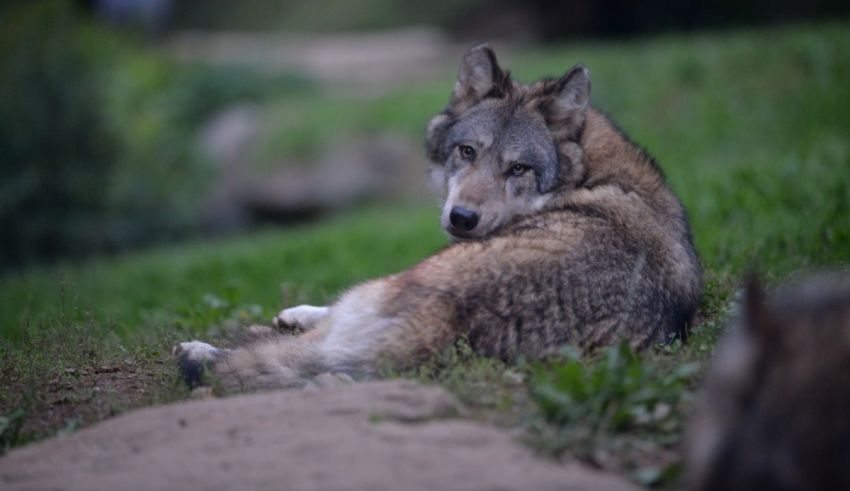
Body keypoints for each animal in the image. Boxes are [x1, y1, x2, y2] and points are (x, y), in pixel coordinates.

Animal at [174, 44, 701, 391]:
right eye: (467, 152)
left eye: (518, 169)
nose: (463, 218)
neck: (590, 171)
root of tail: (442, 319)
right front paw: (295, 314)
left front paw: (294, 316)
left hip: (399, 280)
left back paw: (198, 351)